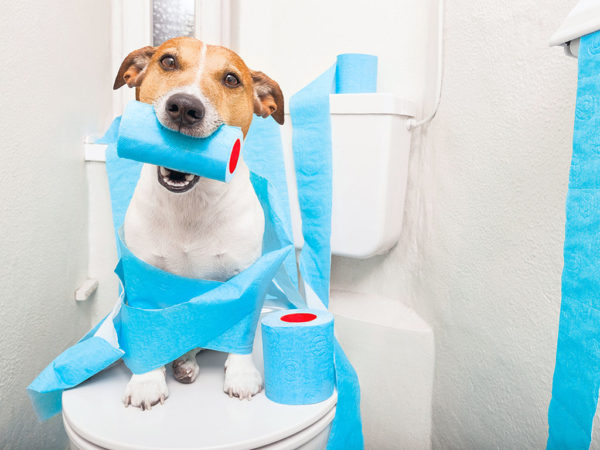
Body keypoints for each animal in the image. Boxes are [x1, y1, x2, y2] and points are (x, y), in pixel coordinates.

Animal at [113, 37, 286, 412]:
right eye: (168, 61)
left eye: (232, 79)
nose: (184, 107)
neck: (189, 205)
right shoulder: (142, 275)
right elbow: (148, 333)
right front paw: (147, 381)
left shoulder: (243, 274)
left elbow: (240, 329)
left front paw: (241, 375)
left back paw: (187, 362)